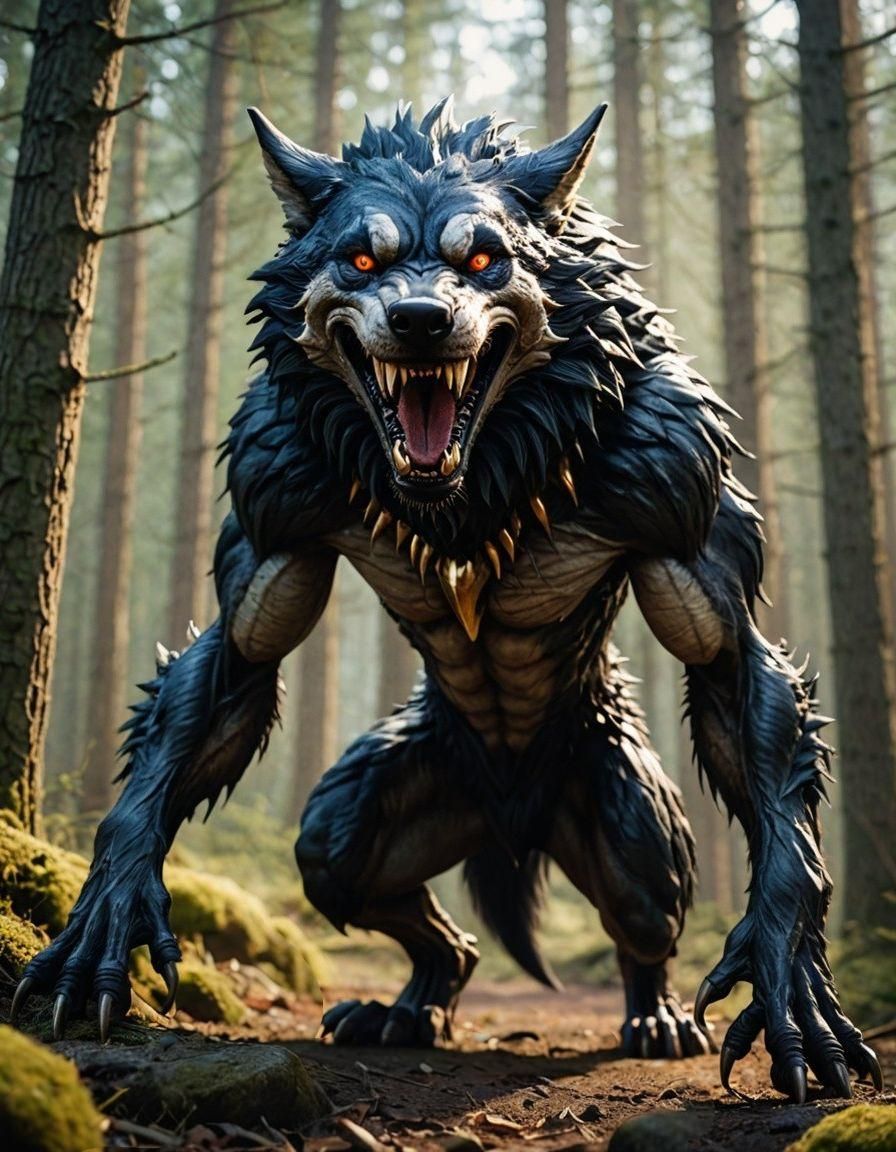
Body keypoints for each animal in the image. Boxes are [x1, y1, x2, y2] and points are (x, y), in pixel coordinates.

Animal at [14, 100, 881, 1101]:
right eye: (361, 261)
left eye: (483, 260)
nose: (423, 320)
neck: (472, 490)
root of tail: (511, 814)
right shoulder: (274, 490)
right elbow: (234, 658)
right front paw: (108, 901)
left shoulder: (676, 469)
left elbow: (733, 666)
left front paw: (789, 966)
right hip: (373, 812)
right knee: (390, 897)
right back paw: (406, 1007)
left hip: (628, 827)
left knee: (646, 919)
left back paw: (655, 1015)